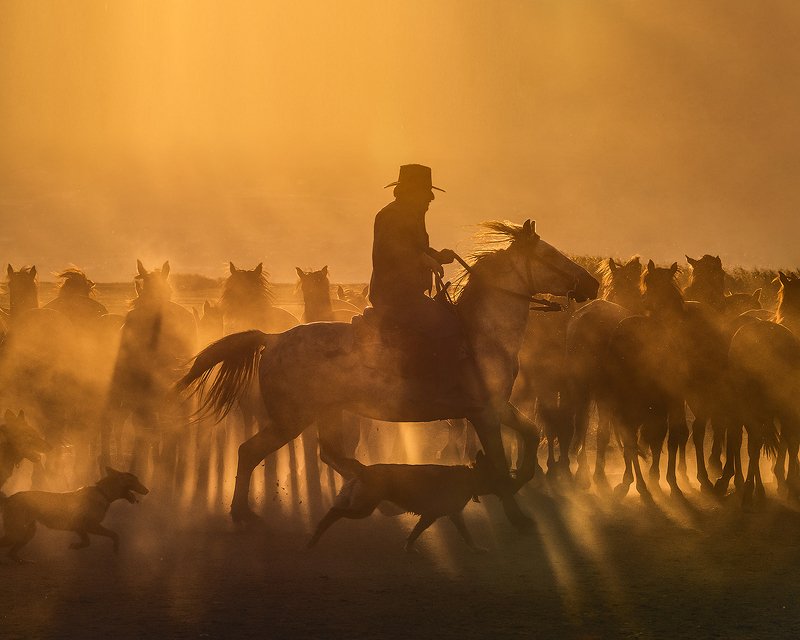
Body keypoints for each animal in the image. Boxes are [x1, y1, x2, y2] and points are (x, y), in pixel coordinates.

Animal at [178, 220, 599, 529]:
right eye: (549, 254)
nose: (592, 283)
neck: (481, 332)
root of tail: (273, 338)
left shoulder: (497, 406)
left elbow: (531, 432)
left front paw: (522, 477)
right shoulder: (483, 414)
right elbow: (499, 458)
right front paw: (517, 514)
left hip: (325, 412)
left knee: (330, 453)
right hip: (291, 419)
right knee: (251, 452)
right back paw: (242, 513)